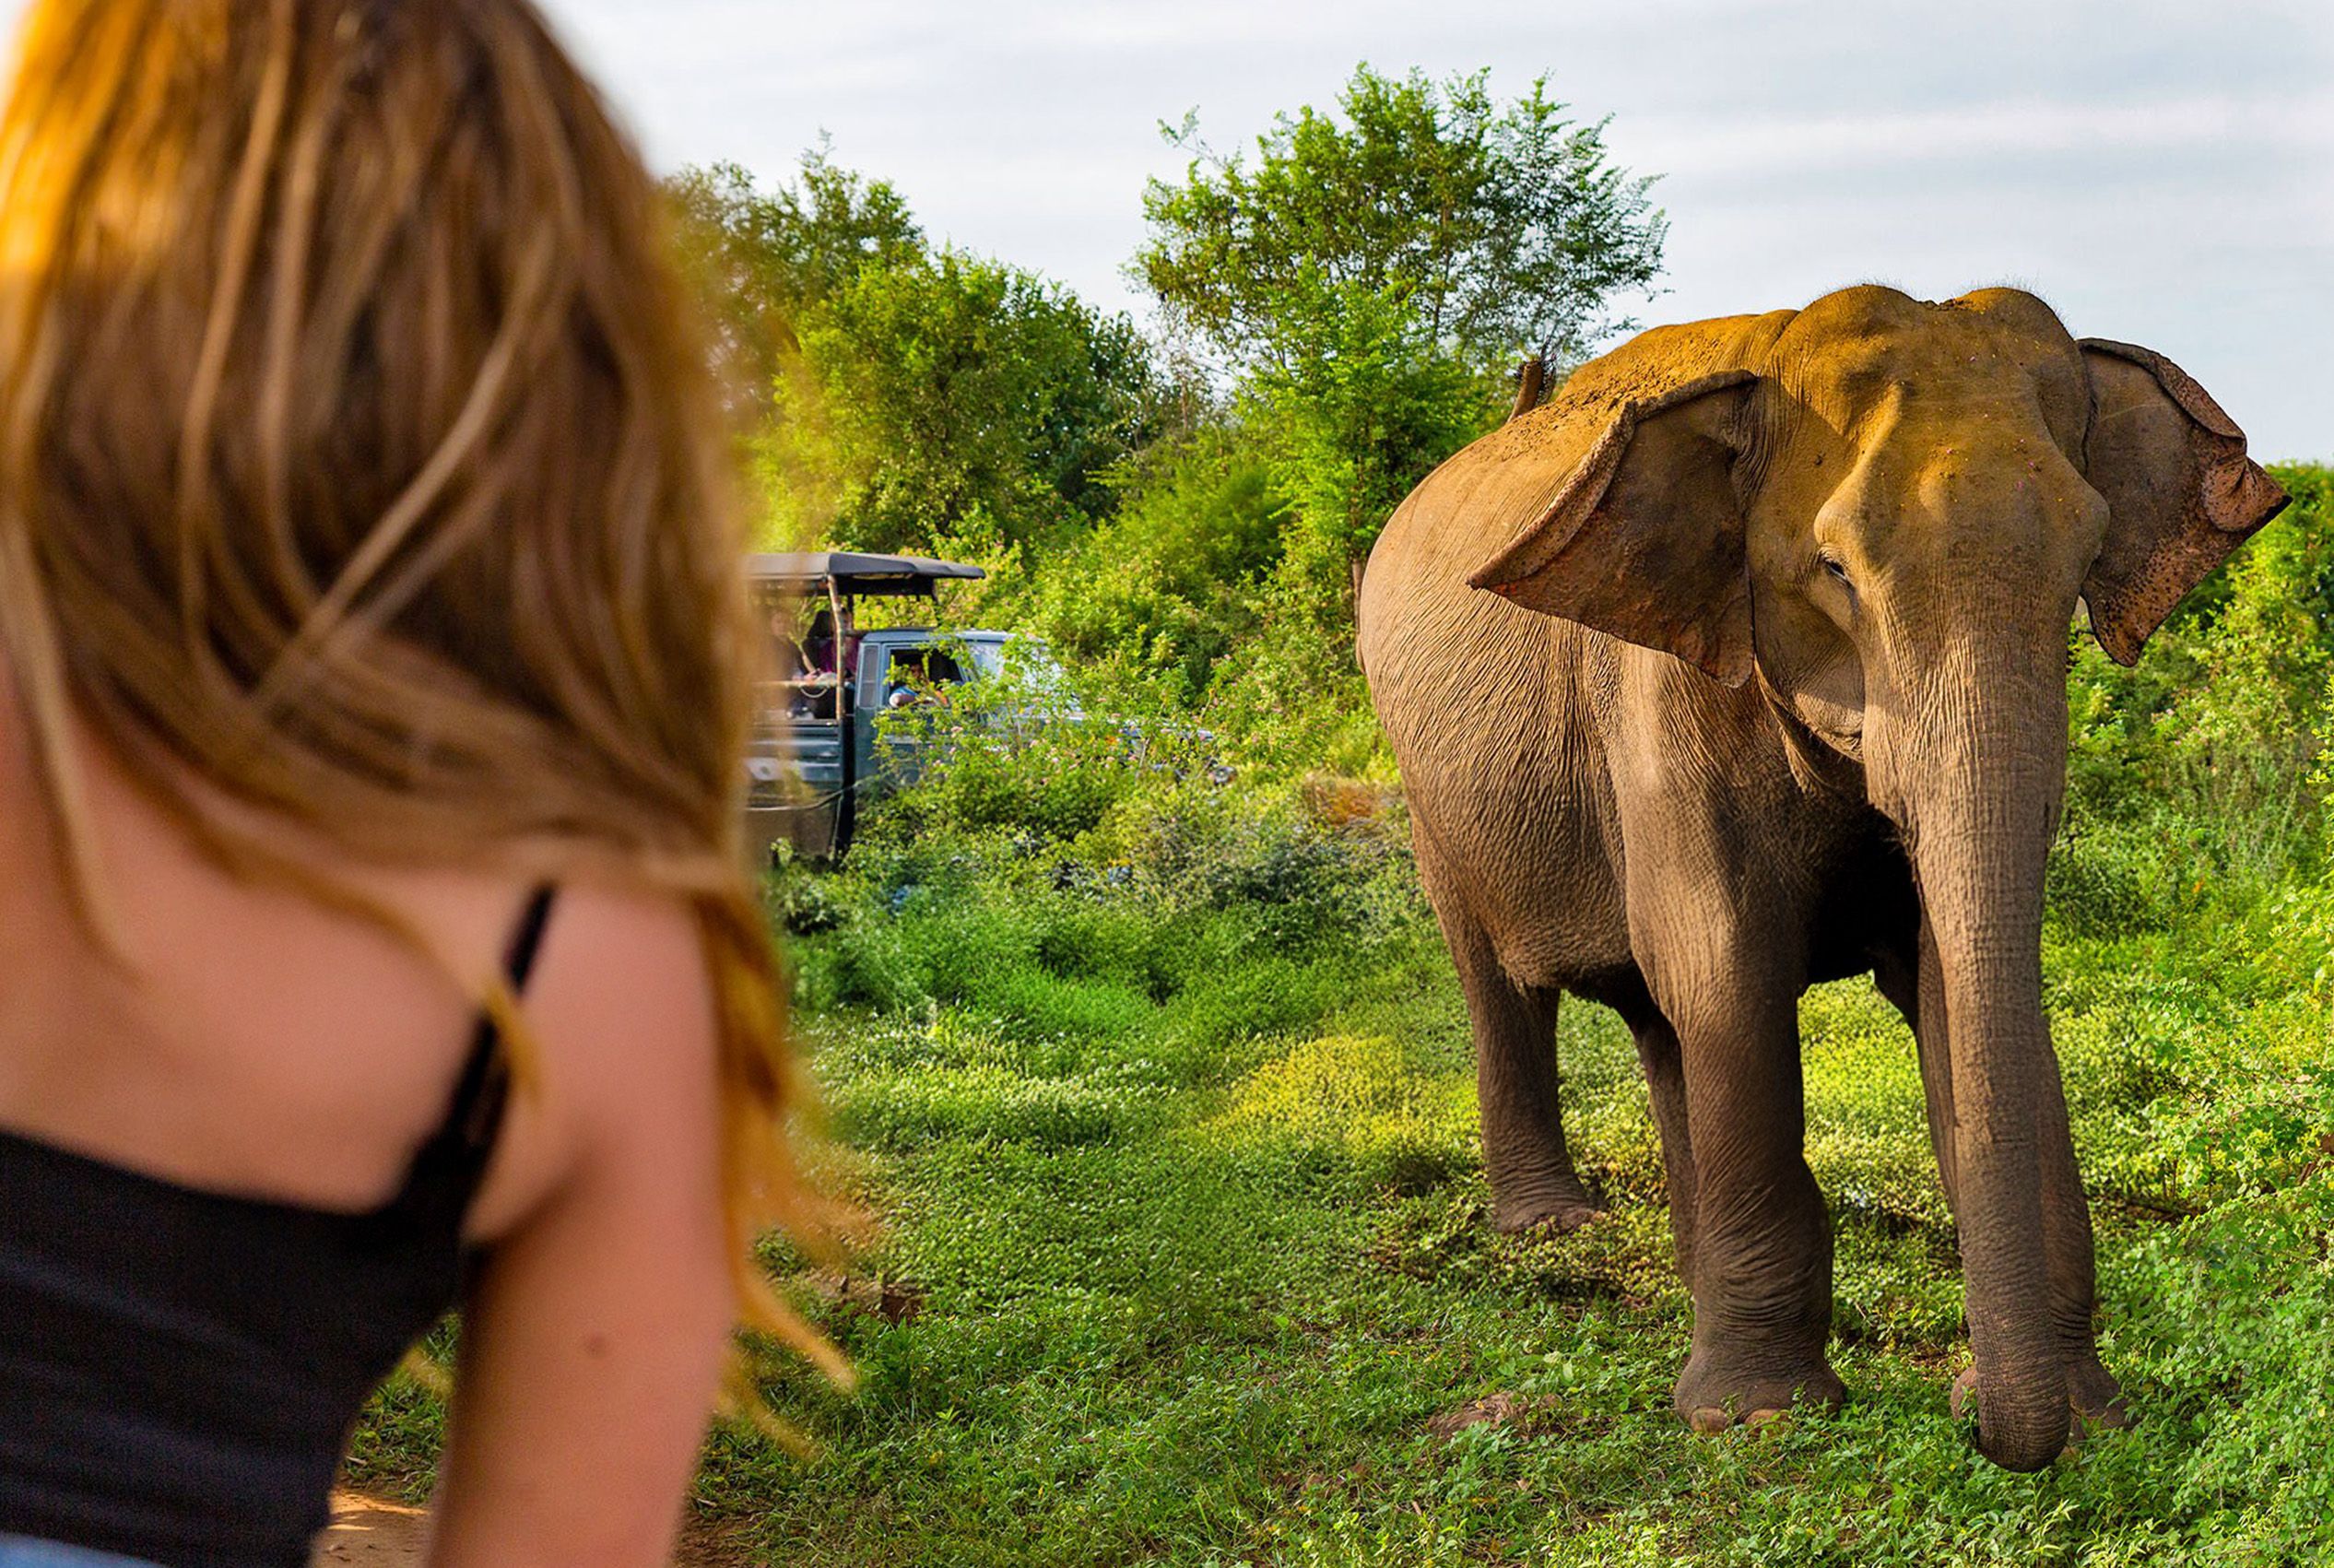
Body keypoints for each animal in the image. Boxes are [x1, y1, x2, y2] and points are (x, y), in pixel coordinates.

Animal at [1356, 285, 2288, 1470]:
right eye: (1836, 572)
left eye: (2083, 566)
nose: (1982, 1425)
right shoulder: (1665, 700)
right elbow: (1729, 973)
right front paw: (1756, 1418)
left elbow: (1946, 981)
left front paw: (2086, 1412)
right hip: (1422, 775)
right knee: (1504, 979)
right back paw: (1556, 1226)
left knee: (1661, 1022)